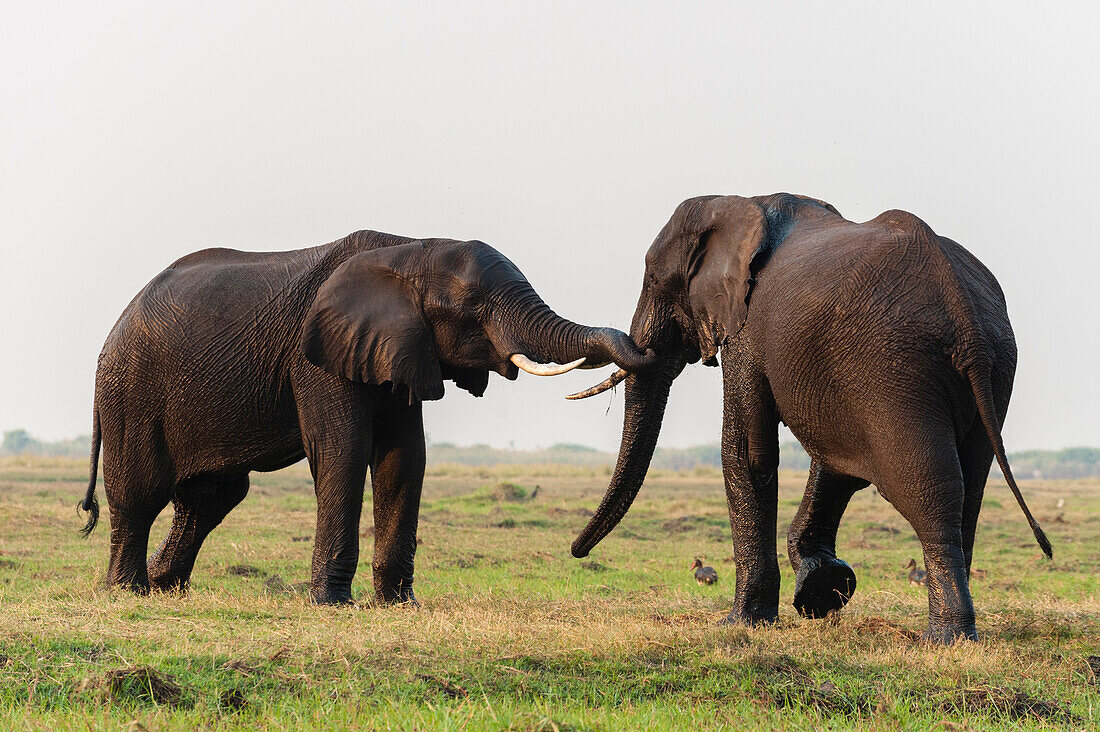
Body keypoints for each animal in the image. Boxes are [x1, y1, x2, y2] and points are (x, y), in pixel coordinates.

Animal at [83, 230, 660, 603]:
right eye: (473, 305)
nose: (651, 348)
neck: (408, 248)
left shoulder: (400, 348)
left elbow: (404, 458)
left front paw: (399, 604)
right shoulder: (316, 356)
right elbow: (344, 450)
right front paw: (329, 603)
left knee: (210, 498)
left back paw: (167, 588)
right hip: (129, 390)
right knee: (140, 492)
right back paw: (127, 592)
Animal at [567, 192, 1047, 638]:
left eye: (654, 279)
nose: (576, 551)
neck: (739, 204)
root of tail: (964, 314)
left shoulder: (748, 328)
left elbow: (748, 452)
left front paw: (741, 623)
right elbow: (834, 462)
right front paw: (822, 590)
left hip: (898, 368)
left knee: (929, 487)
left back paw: (944, 638)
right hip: (993, 367)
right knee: (970, 485)